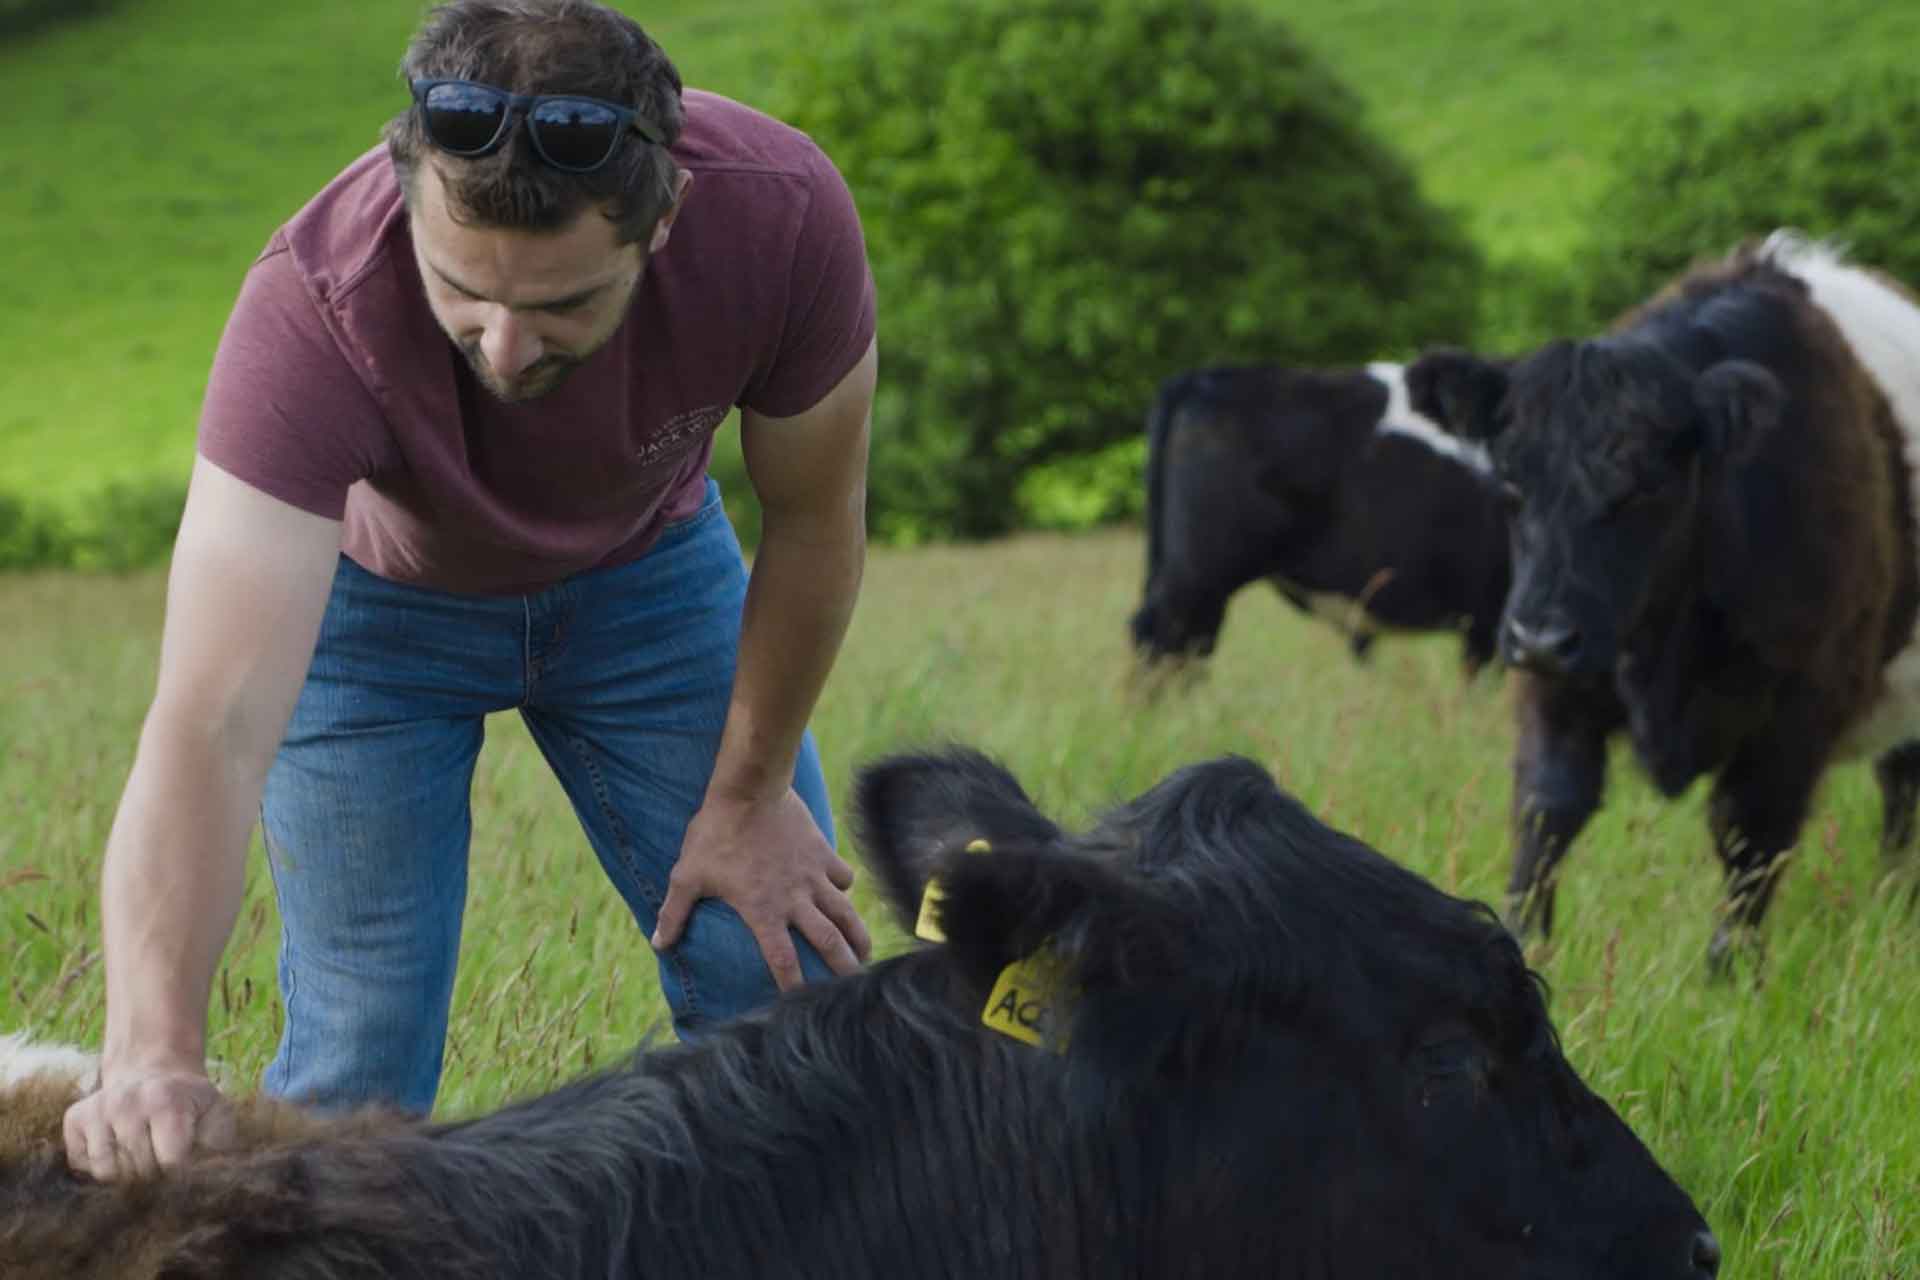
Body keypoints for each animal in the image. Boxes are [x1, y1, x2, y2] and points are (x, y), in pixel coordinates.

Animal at [1413, 235, 1920, 967]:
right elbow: (1545, 811)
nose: (1541, 638)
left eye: (1648, 485)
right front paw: (1522, 946)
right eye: (1508, 479)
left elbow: (1749, 832)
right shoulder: (1558, 685)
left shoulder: (1801, 703)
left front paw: (1730, 973)